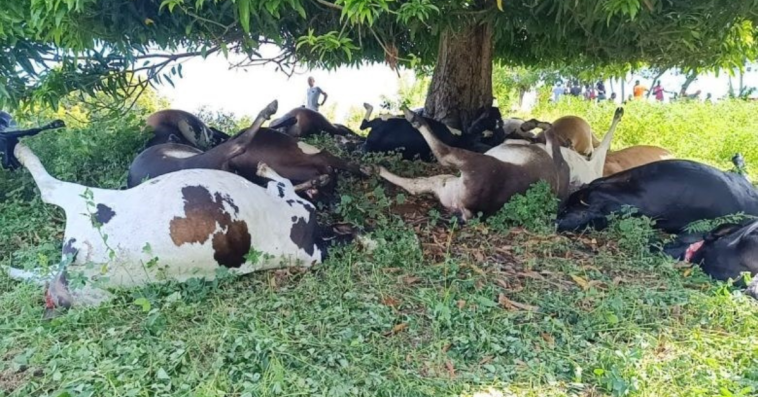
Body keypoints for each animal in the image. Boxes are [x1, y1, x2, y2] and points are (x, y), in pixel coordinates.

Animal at [372, 108, 572, 220]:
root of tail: (471, 210)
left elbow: (548, 127)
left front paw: (529, 125)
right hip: (446, 183)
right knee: (415, 184)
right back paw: (377, 169)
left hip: (470, 163)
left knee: (442, 152)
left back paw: (412, 117)